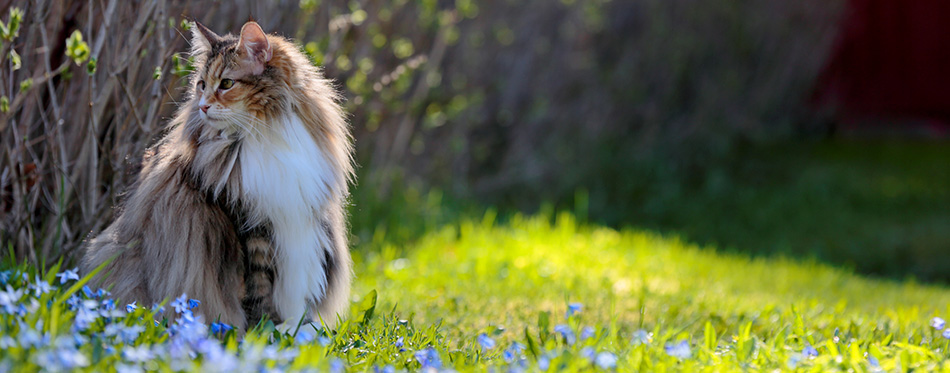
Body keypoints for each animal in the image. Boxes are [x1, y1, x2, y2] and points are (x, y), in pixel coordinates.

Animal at [82, 20, 356, 330]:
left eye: (226, 84)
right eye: (201, 85)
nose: (202, 105)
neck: (264, 132)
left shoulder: (301, 219)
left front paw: (298, 329)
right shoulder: (249, 225)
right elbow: (259, 292)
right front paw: (266, 331)